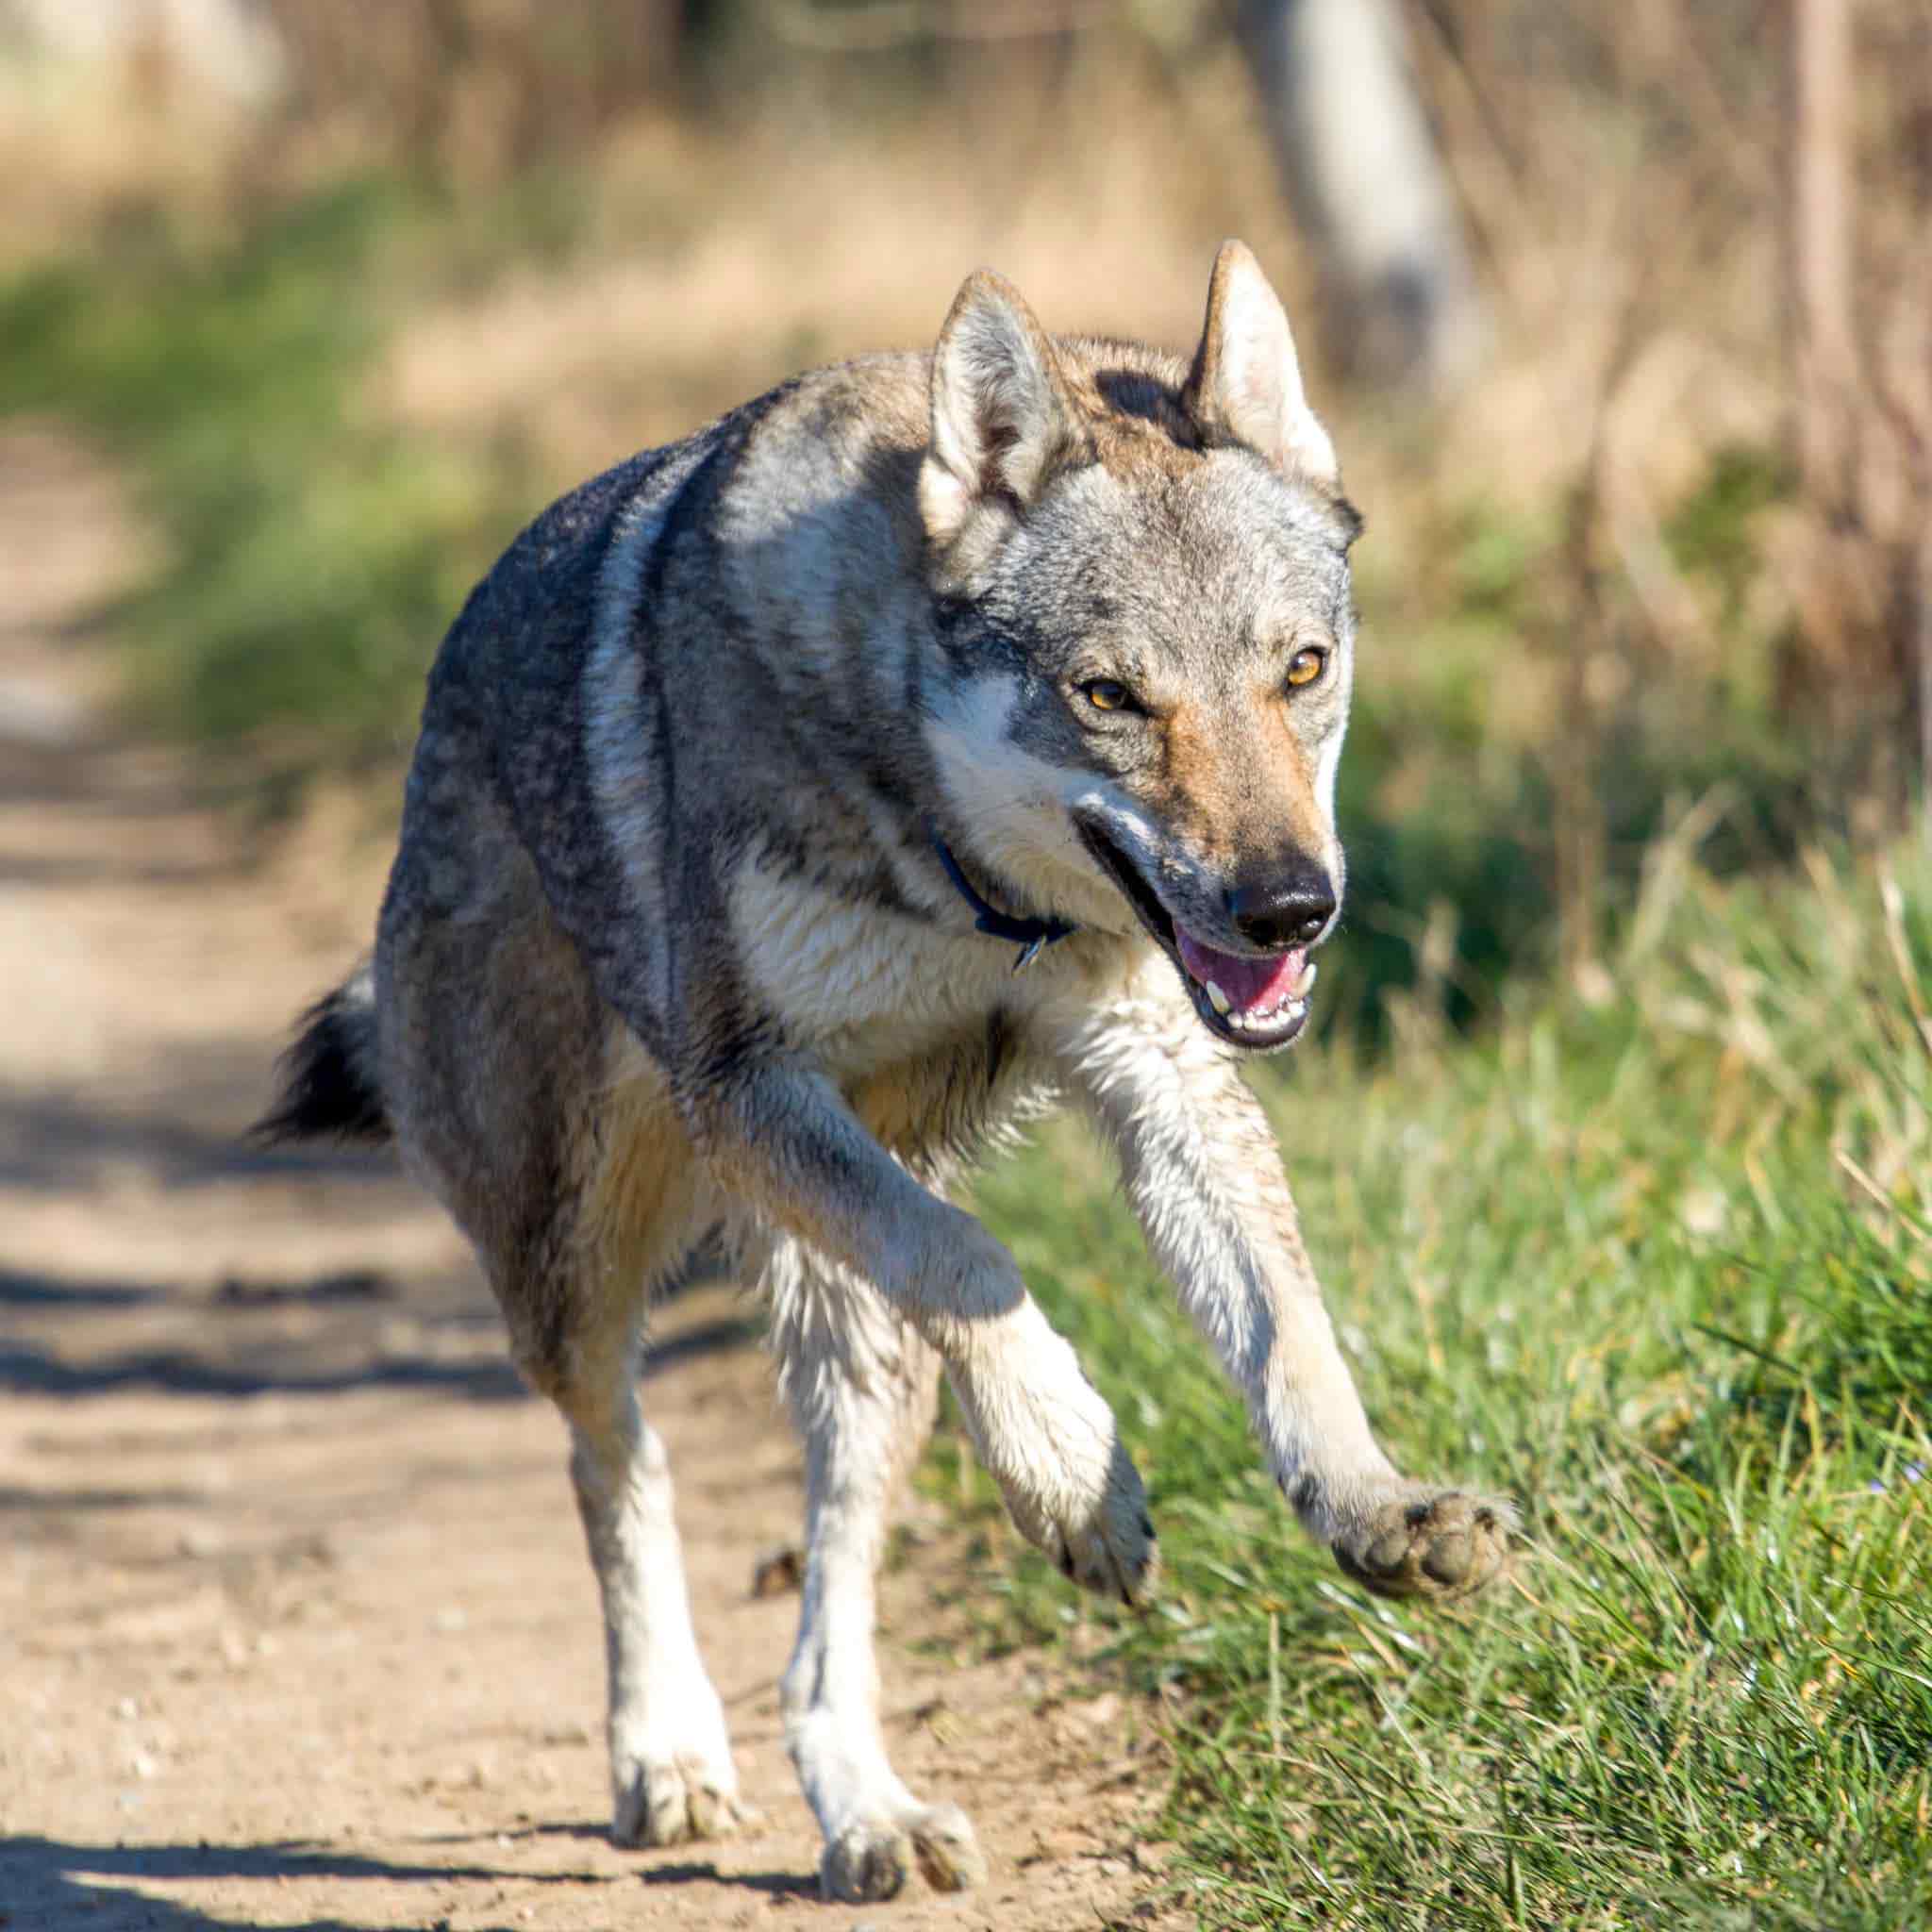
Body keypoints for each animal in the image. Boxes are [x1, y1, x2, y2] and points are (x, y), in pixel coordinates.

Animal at [262, 241, 1514, 1903]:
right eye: (1111, 696)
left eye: (1300, 670)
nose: (1289, 909)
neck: (970, 890)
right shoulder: (751, 1094)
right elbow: (981, 1263)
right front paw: (1075, 1471)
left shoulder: (1163, 1077)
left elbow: (1288, 1337)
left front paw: (1377, 1511)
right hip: (578, 1266)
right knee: (617, 1467)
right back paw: (669, 1756)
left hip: (857, 1349)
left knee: (825, 1607)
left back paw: (866, 1810)